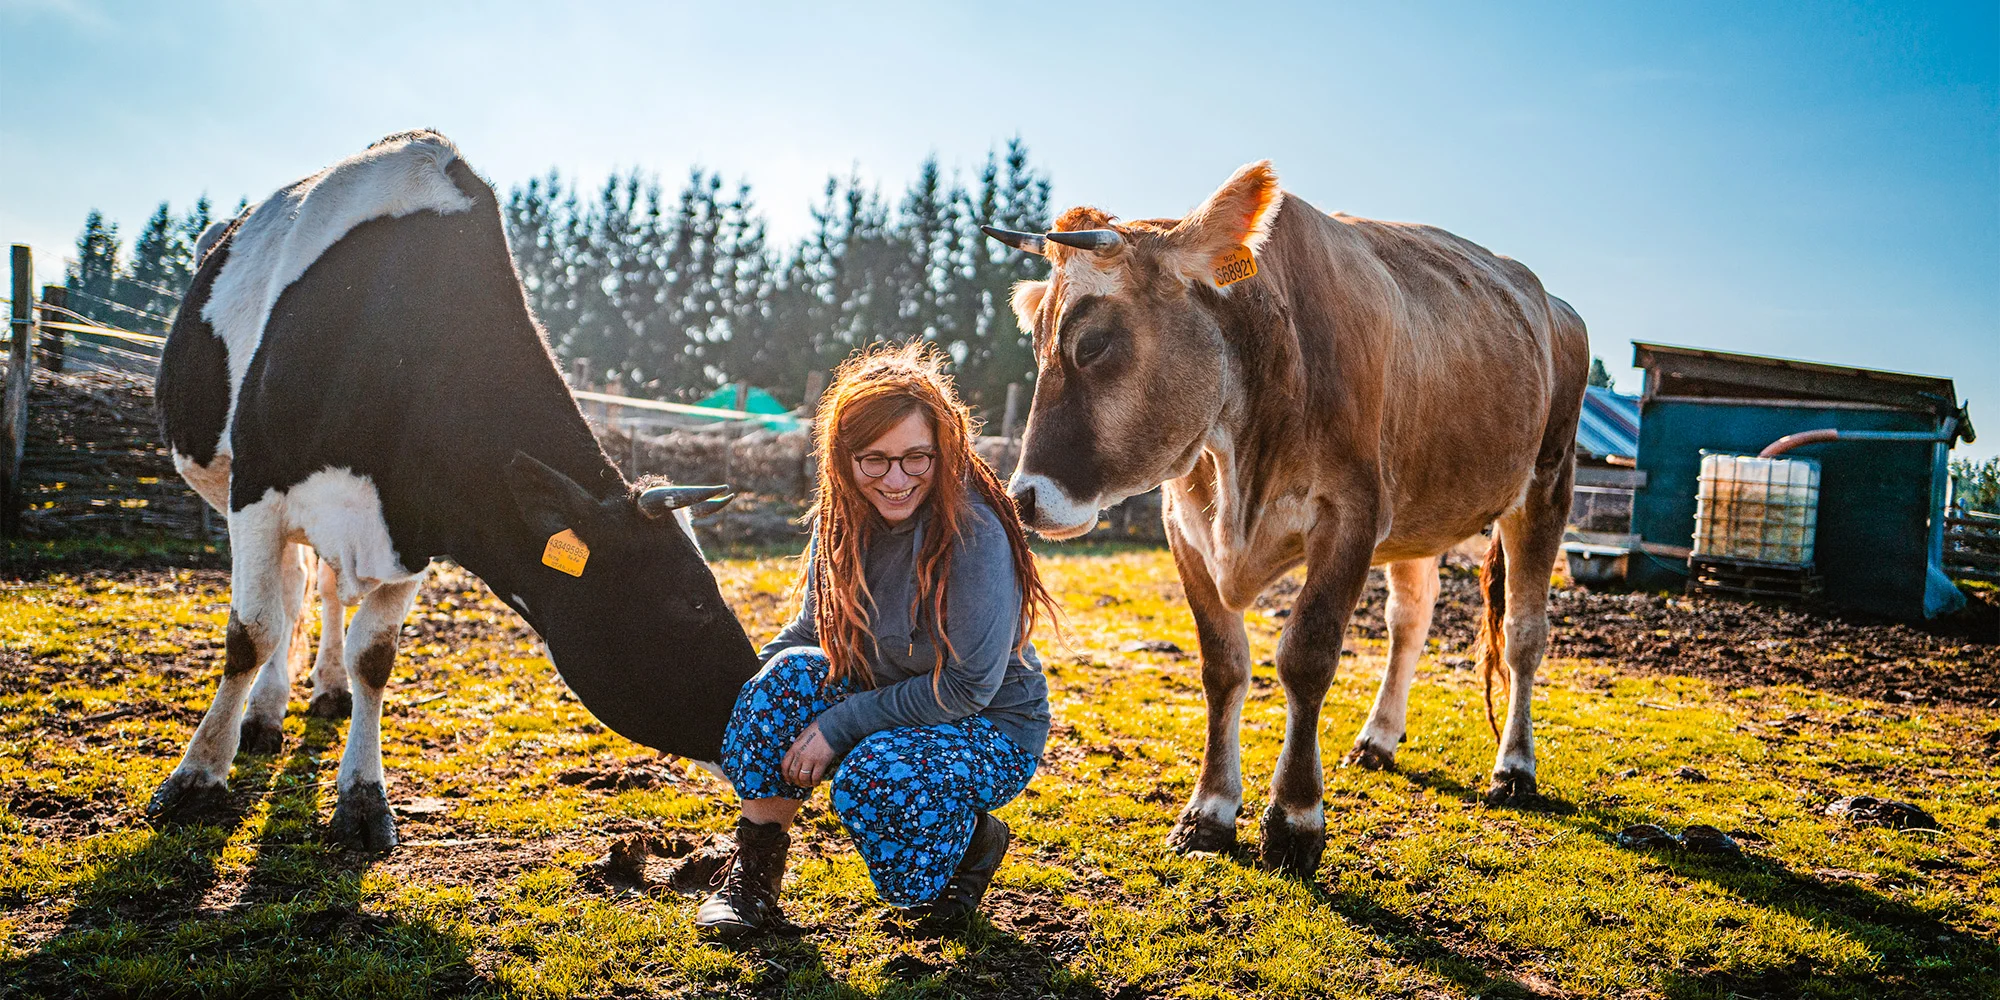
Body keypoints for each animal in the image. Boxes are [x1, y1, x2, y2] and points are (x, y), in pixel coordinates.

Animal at [152, 131, 764, 852]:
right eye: (690, 602)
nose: (755, 713)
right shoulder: (258, 487)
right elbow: (251, 632)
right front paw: (197, 777)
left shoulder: (415, 521)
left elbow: (374, 656)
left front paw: (362, 796)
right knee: (292, 592)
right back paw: (266, 713)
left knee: (322, 589)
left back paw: (323, 689)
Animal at [988, 164, 1592, 876]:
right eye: (1037, 343)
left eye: (1094, 344)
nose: (1024, 497)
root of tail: (1552, 304)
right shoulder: (1183, 527)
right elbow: (1222, 666)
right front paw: (1208, 811)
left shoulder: (1350, 516)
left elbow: (1306, 658)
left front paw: (1296, 820)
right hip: (1419, 508)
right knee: (1411, 618)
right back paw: (1378, 738)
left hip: (1547, 484)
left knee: (1524, 632)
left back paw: (1514, 768)